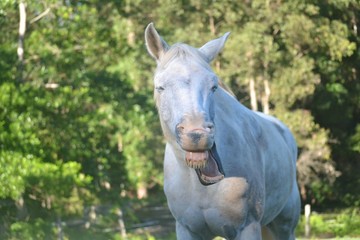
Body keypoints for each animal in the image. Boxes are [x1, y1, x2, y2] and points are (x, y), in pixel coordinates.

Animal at [145, 23, 300, 240]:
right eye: (160, 87)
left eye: (213, 86)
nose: (197, 135)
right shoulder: (187, 229)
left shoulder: (247, 227)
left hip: (285, 226)